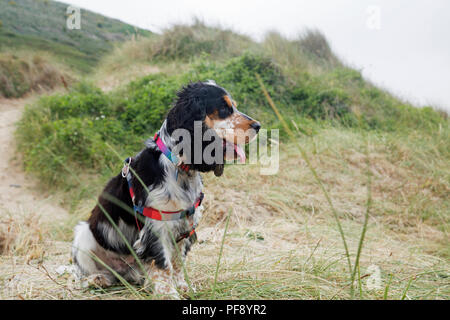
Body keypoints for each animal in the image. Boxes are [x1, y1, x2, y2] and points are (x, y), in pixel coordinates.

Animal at [70, 80, 260, 298]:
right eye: (224, 109)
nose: (258, 126)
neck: (178, 166)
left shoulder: (184, 226)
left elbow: (177, 262)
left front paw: (183, 287)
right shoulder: (156, 229)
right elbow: (163, 265)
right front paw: (168, 293)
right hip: (83, 234)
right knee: (83, 273)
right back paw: (97, 279)